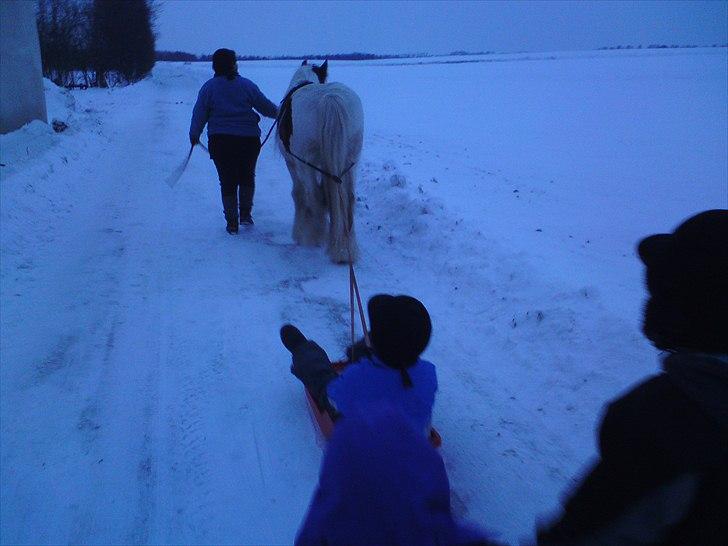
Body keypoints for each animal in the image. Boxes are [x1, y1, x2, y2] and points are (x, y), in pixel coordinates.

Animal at [276, 58, 364, 262]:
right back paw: (344, 249)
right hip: (350, 161)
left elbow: (299, 194)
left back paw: (314, 236)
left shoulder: (292, 163)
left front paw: (301, 231)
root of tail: (331, 99)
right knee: (348, 198)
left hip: (306, 164)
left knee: (313, 195)